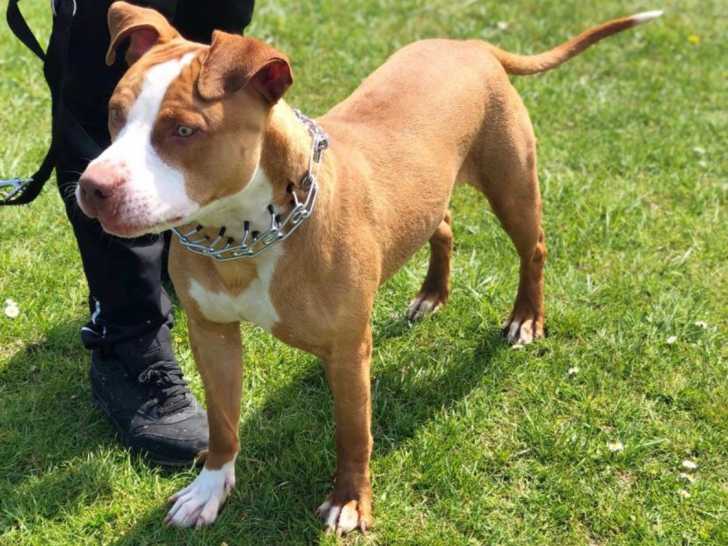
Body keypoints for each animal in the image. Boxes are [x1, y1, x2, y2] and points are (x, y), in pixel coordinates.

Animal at [76, 2, 661, 533]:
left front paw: (349, 504)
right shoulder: (212, 333)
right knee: (443, 225)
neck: (247, 233)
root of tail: (473, 46)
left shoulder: (347, 350)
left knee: (533, 249)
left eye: (184, 131)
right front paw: (209, 489)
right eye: (114, 112)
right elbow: (222, 423)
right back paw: (431, 294)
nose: (93, 187)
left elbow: (352, 433)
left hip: (512, 185)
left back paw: (525, 319)